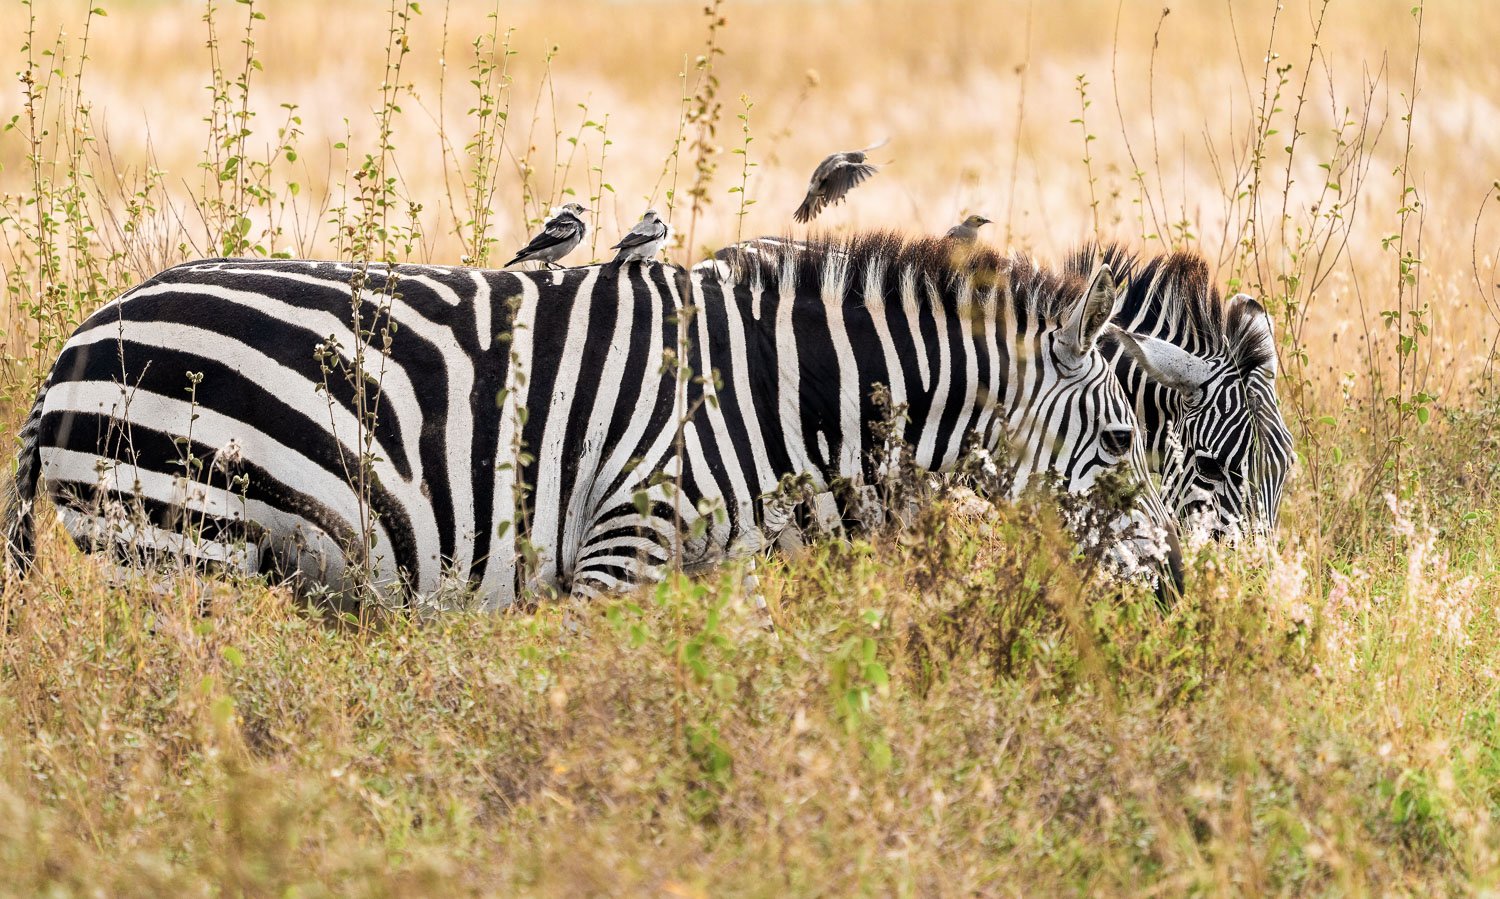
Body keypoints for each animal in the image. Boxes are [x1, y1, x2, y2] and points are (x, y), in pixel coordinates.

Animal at [3, 234, 1178, 605]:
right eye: (1123, 442)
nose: (1174, 590)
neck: (768, 394)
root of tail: (77, 337)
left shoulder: (721, 565)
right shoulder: (625, 536)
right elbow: (608, 694)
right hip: (171, 537)